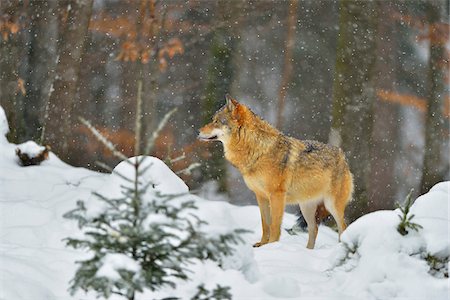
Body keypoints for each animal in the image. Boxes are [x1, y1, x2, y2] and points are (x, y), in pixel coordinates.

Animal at [199, 95, 354, 248]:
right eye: (213, 120)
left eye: (216, 121)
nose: (198, 131)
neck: (258, 150)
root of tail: (343, 157)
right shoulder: (260, 196)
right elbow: (265, 224)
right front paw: (262, 244)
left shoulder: (277, 196)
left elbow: (274, 225)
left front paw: (272, 246)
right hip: (306, 207)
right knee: (314, 228)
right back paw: (308, 251)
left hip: (331, 205)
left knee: (343, 227)